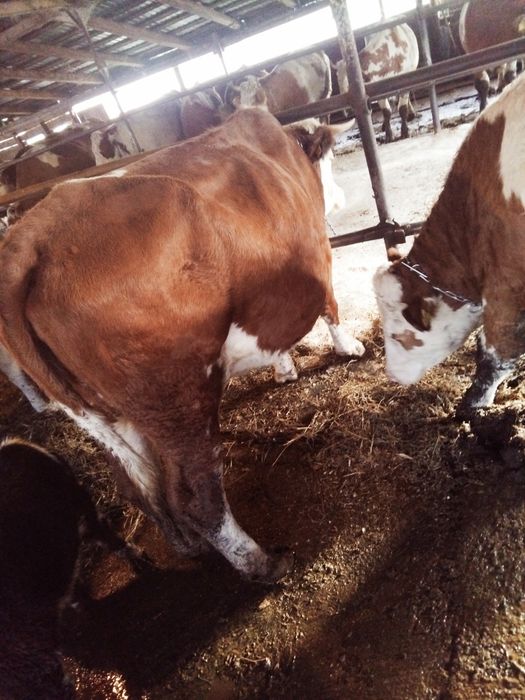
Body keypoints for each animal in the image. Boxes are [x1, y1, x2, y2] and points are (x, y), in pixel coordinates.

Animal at [0, 108, 365, 583]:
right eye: (331, 161)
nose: (339, 196)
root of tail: (27, 239)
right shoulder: (318, 257)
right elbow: (331, 306)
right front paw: (349, 347)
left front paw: (284, 368)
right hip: (179, 396)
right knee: (198, 496)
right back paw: (263, 563)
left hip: (96, 413)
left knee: (138, 485)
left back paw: (186, 547)